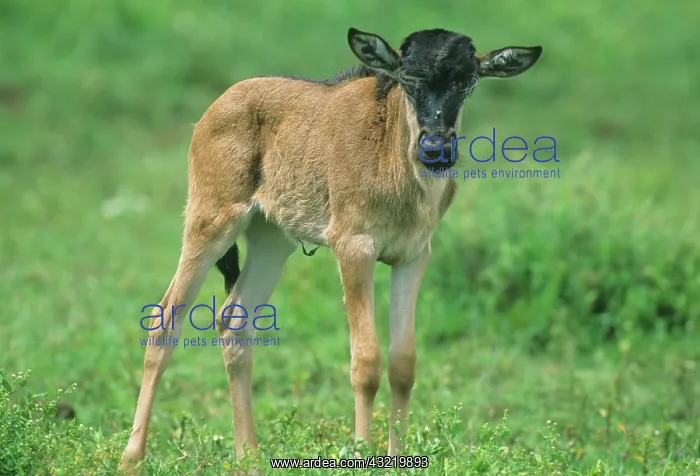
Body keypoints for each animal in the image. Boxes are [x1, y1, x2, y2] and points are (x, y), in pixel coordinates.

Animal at [119, 27, 542, 471]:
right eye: (408, 78)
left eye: (466, 80)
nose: (434, 149)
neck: (391, 150)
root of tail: (214, 108)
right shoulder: (353, 247)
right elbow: (366, 362)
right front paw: (360, 453)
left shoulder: (412, 255)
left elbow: (403, 363)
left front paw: (398, 458)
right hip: (210, 223)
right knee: (165, 320)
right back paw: (132, 458)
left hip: (272, 242)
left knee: (235, 321)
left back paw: (249, 457)